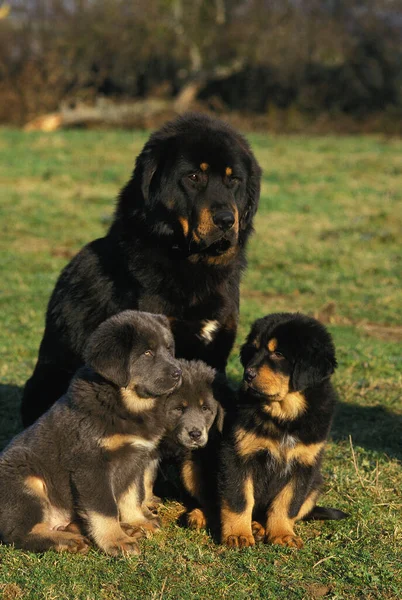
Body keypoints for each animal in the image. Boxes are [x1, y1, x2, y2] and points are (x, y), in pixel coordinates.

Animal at [0, 312, 181, 556]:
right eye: (147, 353)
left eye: (169, 349)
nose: (178, 373)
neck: (127, 405)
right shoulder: (91, 465)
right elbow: (104, 508)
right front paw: (116, 540)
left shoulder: (136, 460)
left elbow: (132, 496)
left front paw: (137, 522)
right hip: (25, 477)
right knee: (18, 533)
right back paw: (67, 541)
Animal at [218, 312, 348, 552]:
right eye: (253, 350)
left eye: (278, 354)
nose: (247, 375)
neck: (284, 415)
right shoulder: (236, 454)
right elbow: (239, 499)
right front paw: (238, 535)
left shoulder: (304, 464)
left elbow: (286, 504)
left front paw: (282, 535)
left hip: (315, 485)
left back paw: (259, 527)